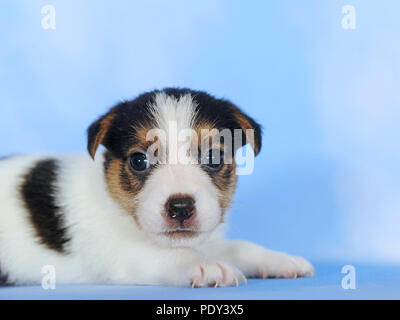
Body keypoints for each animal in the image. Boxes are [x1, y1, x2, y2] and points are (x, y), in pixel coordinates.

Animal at [0, 88, 312, 288]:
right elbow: (170, 255)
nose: (181, 208)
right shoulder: (123, 253)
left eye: (213, 157)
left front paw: (280, 260)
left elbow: (239, 247)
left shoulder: (207, 240)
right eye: (139, 160)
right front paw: (207, 266)